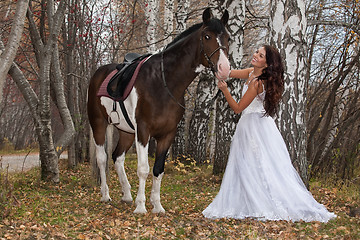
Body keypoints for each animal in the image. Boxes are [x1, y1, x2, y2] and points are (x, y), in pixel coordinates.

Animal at [86, 7, 231, 214]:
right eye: (207, 36)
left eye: (228, 37)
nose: (224, 68)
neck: (163, 82)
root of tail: (98, 74)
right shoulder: (144, 131)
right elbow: (143, 169)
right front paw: (141, 206)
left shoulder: (167, 134)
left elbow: (158, 169)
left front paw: (157, 205)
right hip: (98, 124)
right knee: (102, 158)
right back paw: (106, 195)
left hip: (126, 131)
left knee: (118, 158)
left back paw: (127, 195)